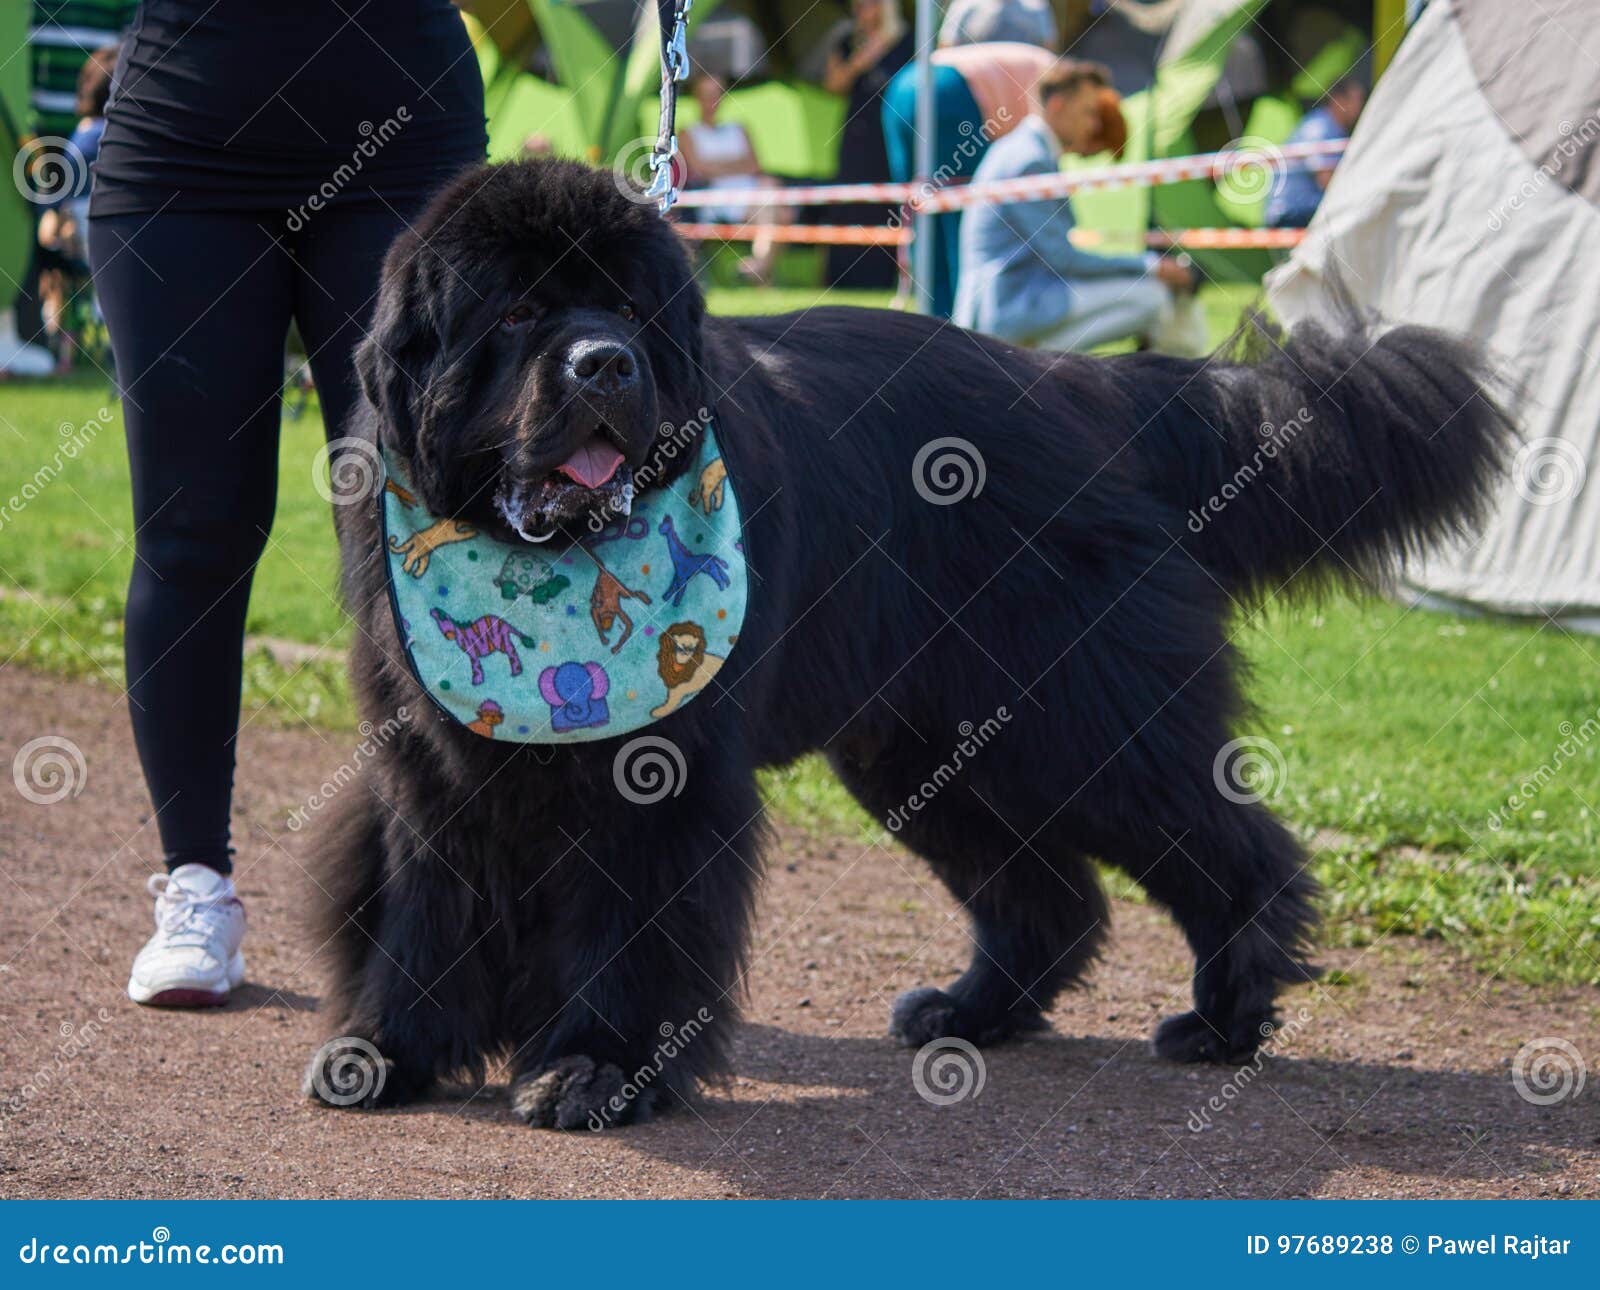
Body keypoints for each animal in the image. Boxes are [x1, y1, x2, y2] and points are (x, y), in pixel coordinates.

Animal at [305, 161, 1516, 1133]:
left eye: (627, 311)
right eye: (517, 310)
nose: (606, 366)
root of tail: (1084, 385)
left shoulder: (661, 779)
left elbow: (632, 929)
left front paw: (595, 1071)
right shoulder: (430, 758)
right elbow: (421, 904)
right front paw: (388, 1049)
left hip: (1083, 723)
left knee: (1232, 847)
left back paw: (1226, 1014)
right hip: (930, 746)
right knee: (1047, 896)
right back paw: (971, 1012)